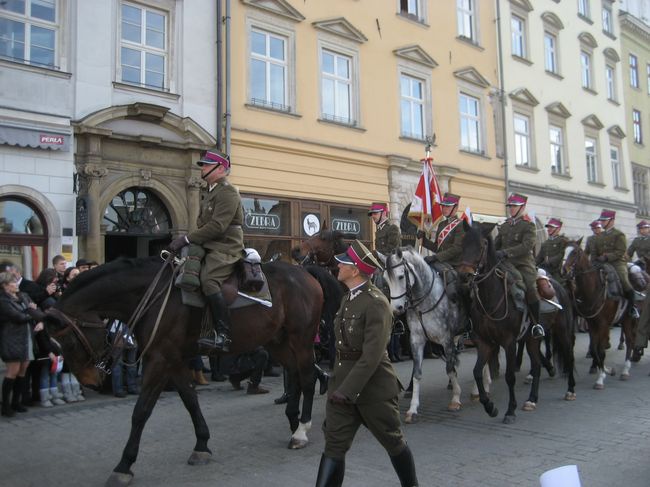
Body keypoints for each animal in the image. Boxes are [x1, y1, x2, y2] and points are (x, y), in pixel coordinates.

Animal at [42, 258, 322, 486]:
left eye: (67, 343)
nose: (90, 381)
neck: (152, 296)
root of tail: (304, 273)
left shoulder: (159, 360)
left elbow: (141, 411)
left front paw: (124, 465)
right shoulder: (174, 361)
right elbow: (189, 400)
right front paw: (202, 444)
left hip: (301, 339)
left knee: (308, 378)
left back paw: (301, 431)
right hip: (278, 341)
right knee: (294, 375)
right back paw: (294, 421)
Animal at [380, 248, 470, 424]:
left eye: (401, 276)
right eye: (386, 279)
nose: (396, 309)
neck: (426, 301)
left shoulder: (446, 340)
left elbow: (449, 369)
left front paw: (456, 399)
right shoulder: (416, 340)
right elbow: (417, 374)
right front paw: (412, 409)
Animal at [456, 221, 572, 424]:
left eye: (481, 246)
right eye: (463, 244)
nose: (464, 276)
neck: (491, 299)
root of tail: (558, 285)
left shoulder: (509, 342)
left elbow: (510, 376)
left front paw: (510, 410)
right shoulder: (484, 343)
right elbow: (477, 372)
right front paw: (490, 406)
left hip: (562, 331)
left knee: (569, 356)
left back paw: (571, 390)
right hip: (533, 339)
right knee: (536, 366)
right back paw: (532, 400)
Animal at [560, 238, 636, 386]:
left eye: (575, 252)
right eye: (563, 252)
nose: (564, 271)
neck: (593, 288)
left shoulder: (603, 324)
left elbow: (600, 349)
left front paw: (600, 379)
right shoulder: (592, 323)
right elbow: (595, 348)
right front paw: (606, 370)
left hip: (628, 319)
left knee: (630, 341)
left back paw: (625, 370)